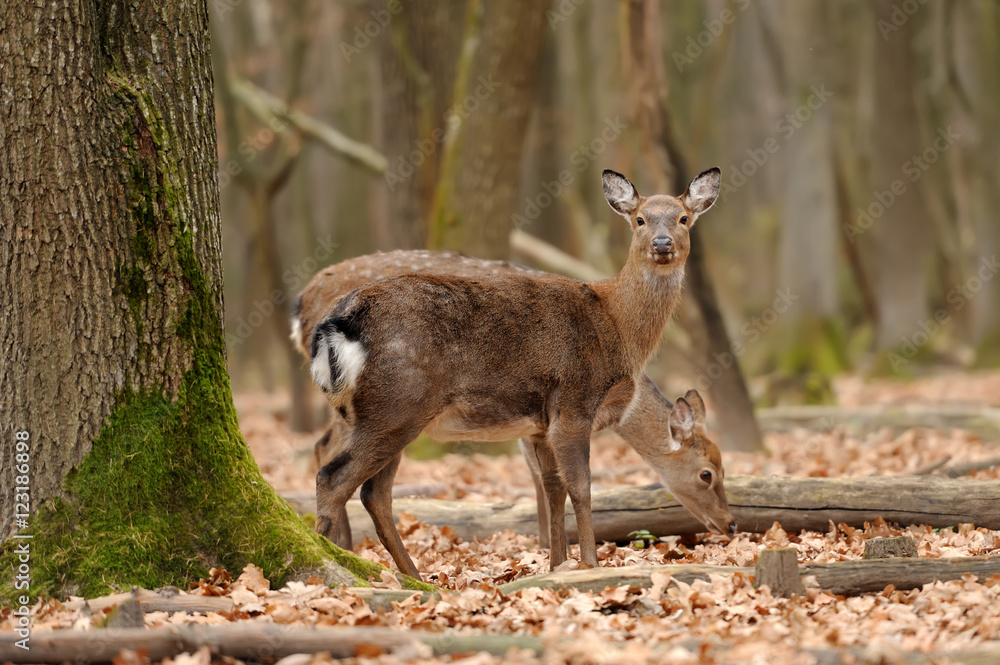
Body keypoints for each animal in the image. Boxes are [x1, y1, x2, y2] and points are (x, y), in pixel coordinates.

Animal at [308, 167, 732, 576]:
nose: (730, 524)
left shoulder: (541, 425)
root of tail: (337, 322)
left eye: (683, 218)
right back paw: (327, 559)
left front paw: (557, 564)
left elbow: (553, 487)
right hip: (397, 403)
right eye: (640, 219)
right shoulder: (574, 402)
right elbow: (581, 485)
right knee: (334, 476)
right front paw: (590, 563)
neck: (617, 325)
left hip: (388, 412)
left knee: (374, 492)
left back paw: (413, 576)